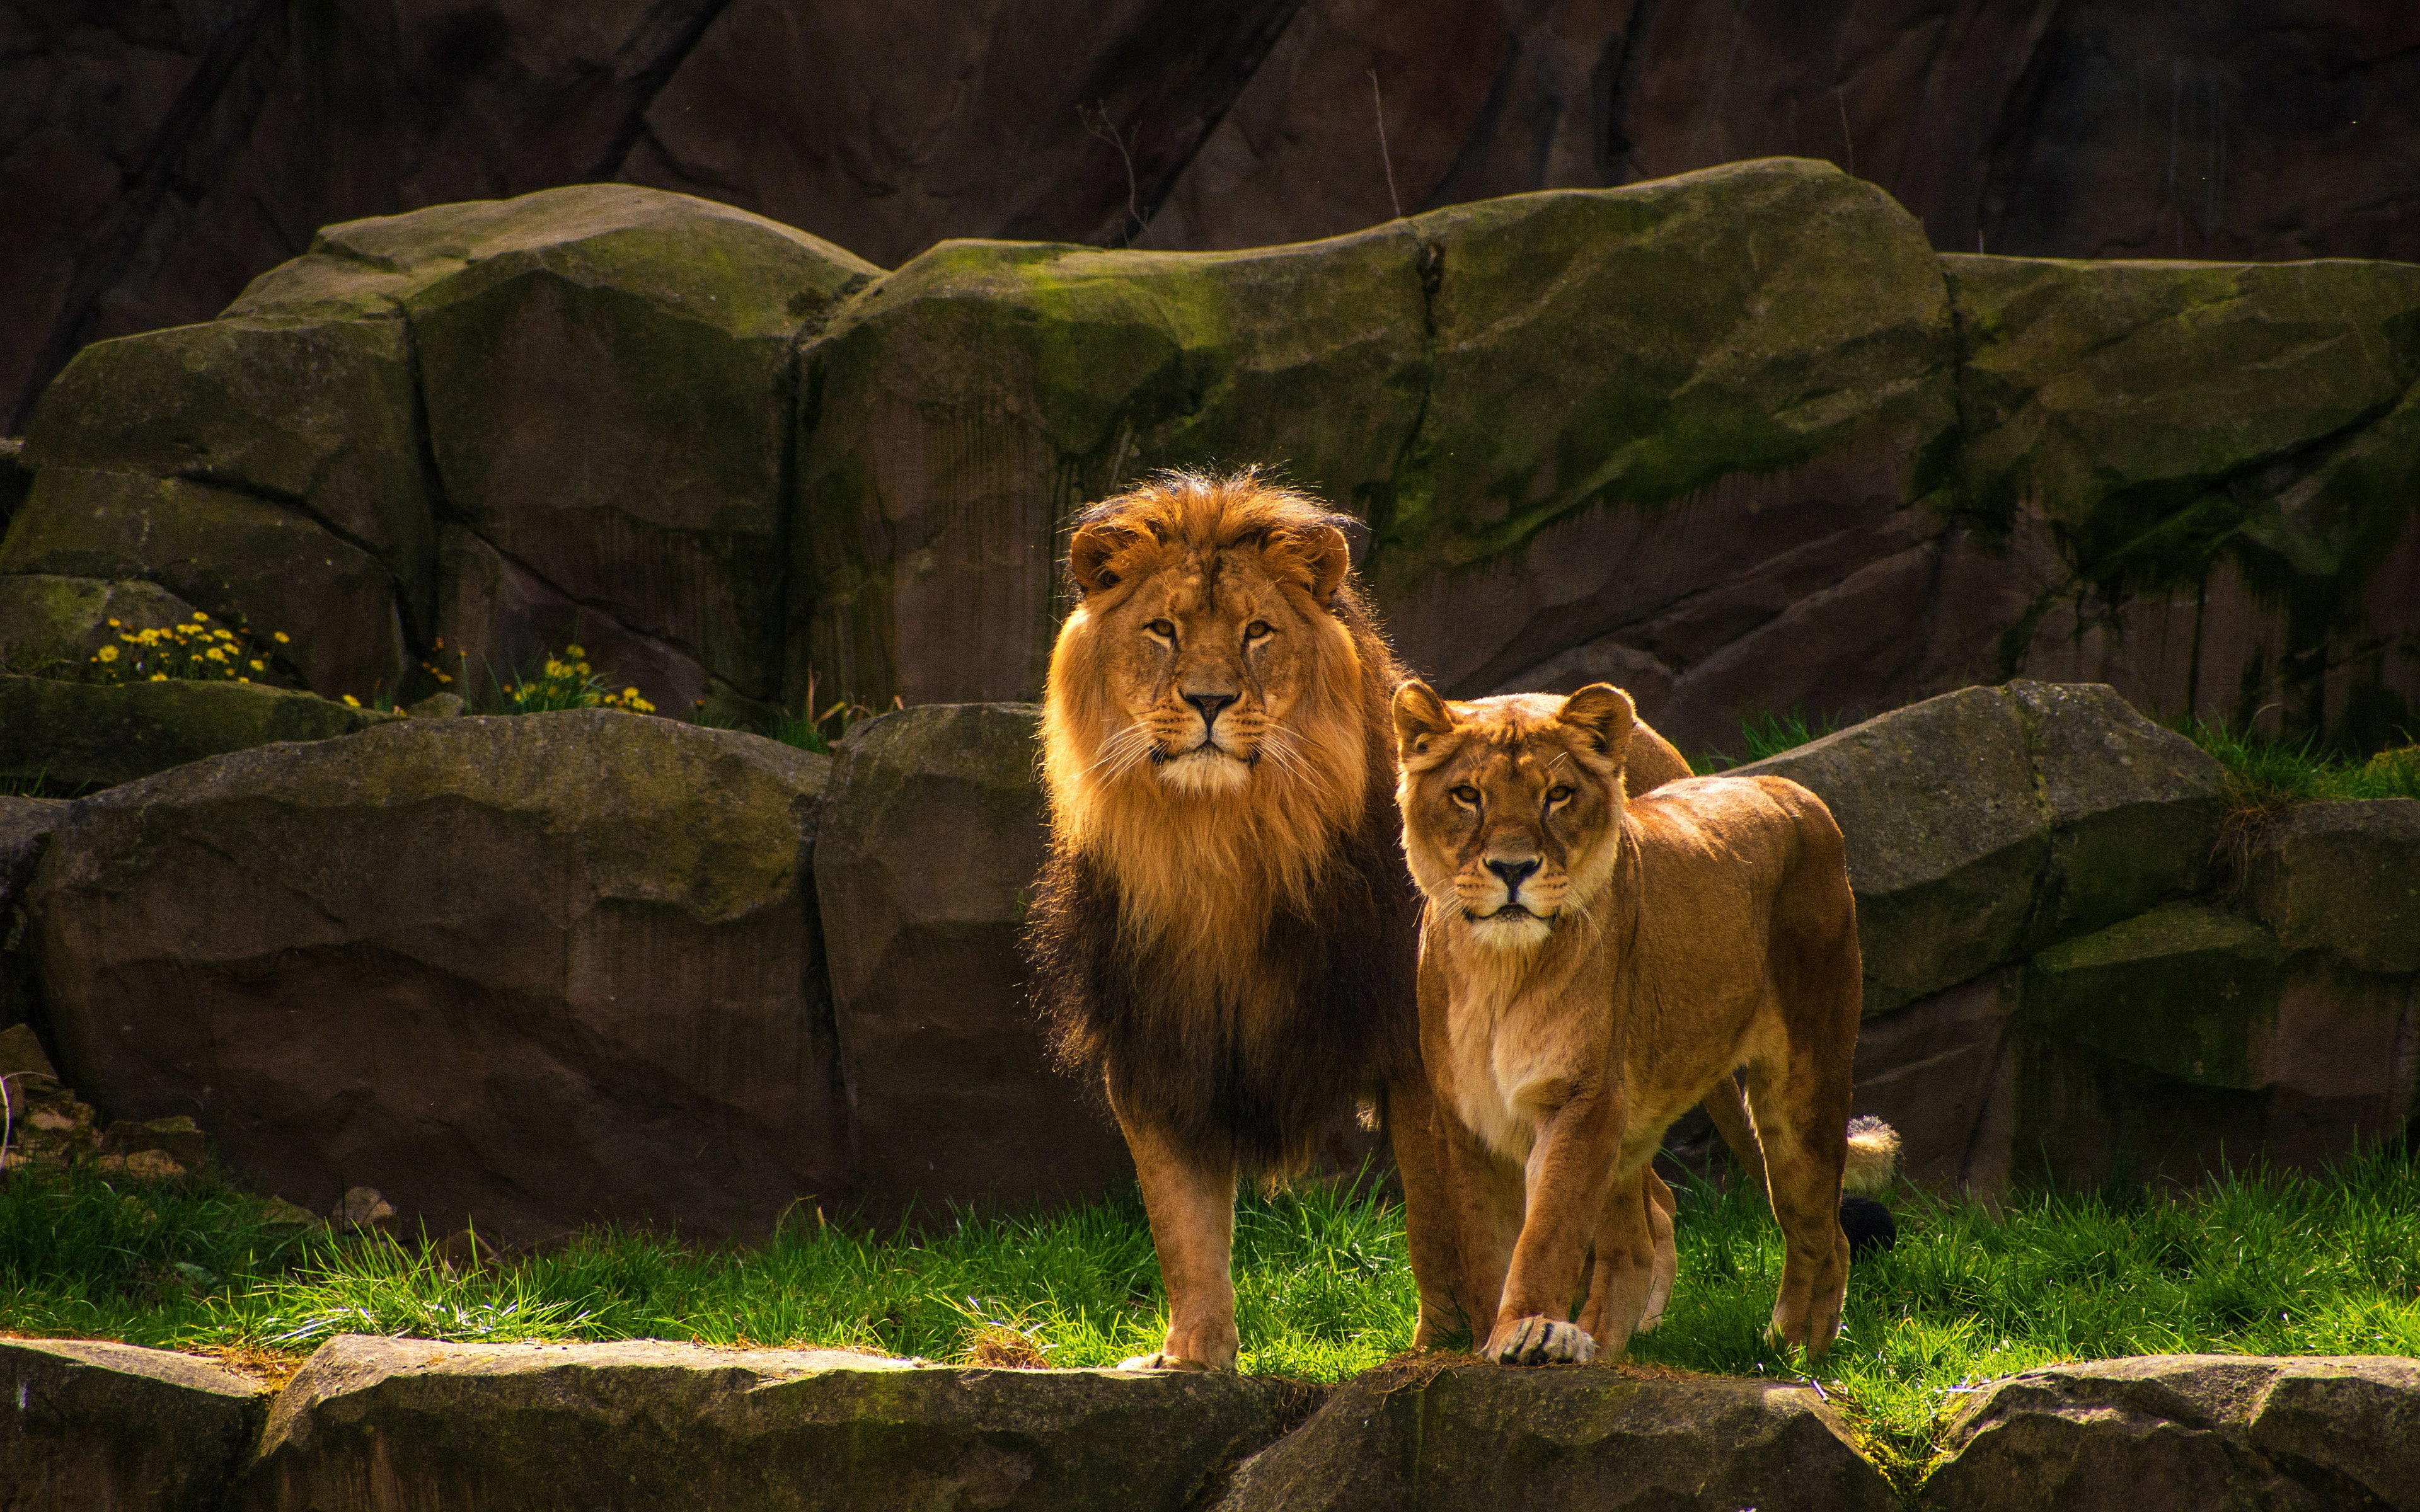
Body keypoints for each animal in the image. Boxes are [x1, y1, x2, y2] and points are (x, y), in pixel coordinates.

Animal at [1393, 678, 1872, 1366]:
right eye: (1467, 795)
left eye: (1557, 795)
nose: (1513, 869)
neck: (1499, 970)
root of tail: (1788, 788)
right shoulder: (1470, 1121)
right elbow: (1488, 1248)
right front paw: (1497, 1339)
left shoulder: (1583, 1098)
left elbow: (1548, 1232)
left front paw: (1530, 1331)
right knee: (1637, 1248)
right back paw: (1606, 1344)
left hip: (1804, 1089)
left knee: (1823, 1233)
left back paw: (1795, 1350)